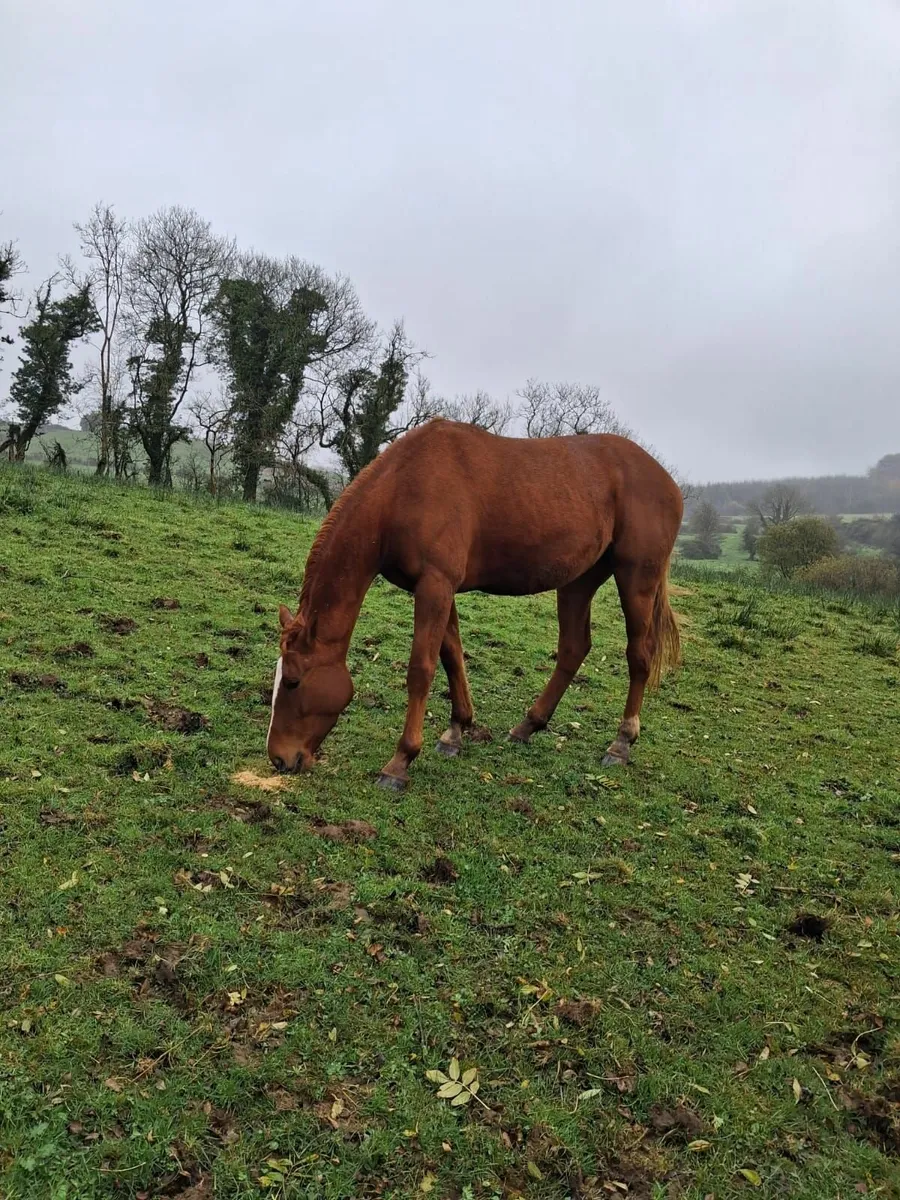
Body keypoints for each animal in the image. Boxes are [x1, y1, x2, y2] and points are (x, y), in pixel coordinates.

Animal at [267, 419, 683, 789]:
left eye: (293, 681)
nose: (279, 758)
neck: (403, 489)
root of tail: (667, 481)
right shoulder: (440, 588)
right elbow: (452, 656)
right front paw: (456, 730)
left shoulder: (435, 585)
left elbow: (422, 669)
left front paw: (400, 761)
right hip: (579, 581)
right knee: (573, 648)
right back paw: (528, 725)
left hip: (636, 579)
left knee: (639, 654)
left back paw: (621, 742)